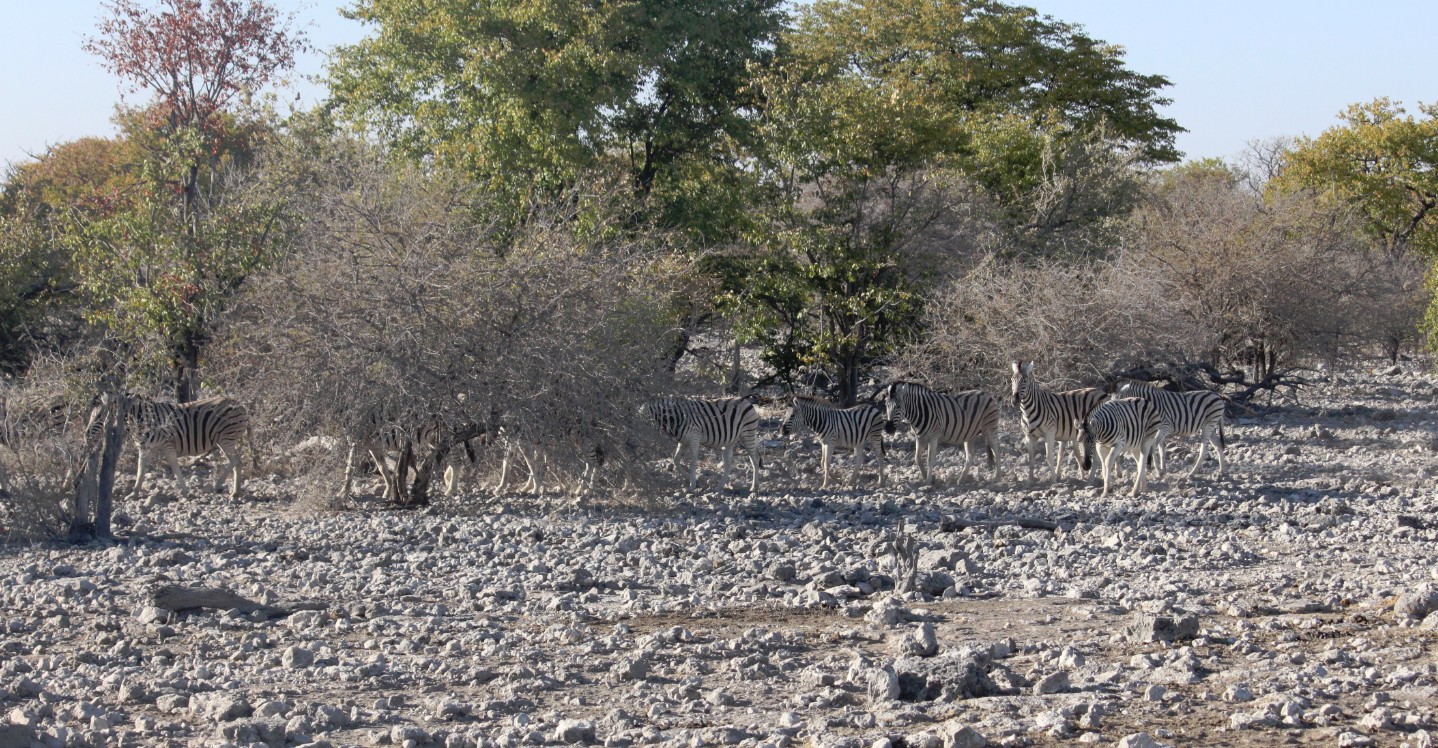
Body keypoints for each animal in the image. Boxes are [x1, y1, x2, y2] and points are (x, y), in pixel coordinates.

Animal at [127, 394, 255, 500]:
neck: (141, 417)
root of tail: (240, 404)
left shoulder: (167, 444)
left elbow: (175, 468)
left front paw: (185, 492)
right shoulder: (144, 448)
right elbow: (141, 470)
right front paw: (134, 493)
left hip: (226, 439)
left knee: (235, 461)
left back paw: (219, 485)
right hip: (224, 440)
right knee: (237, 462)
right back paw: (235, 492)